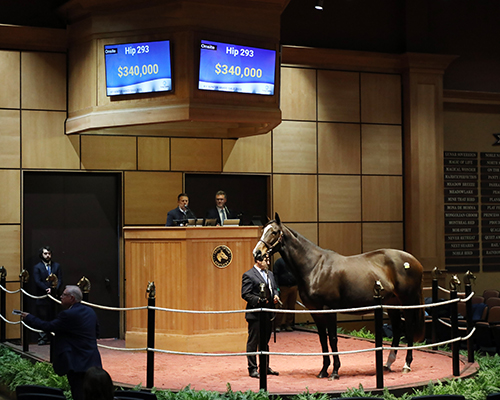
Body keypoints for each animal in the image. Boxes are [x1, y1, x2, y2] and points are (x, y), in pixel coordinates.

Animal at [252, 212, 424, 378]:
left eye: (274, 232)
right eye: (263, 230)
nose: (257, 253)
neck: (314, 267)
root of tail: (414, 261)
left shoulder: (329, 310)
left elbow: (333, 339)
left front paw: (335, 371)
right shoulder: (316, 312)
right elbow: (323, 340)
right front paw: (323, 370)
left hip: (407, 302)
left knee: (408, 328)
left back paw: (406, 365)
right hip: (392, 303)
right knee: (397, 328)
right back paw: (388, 364)